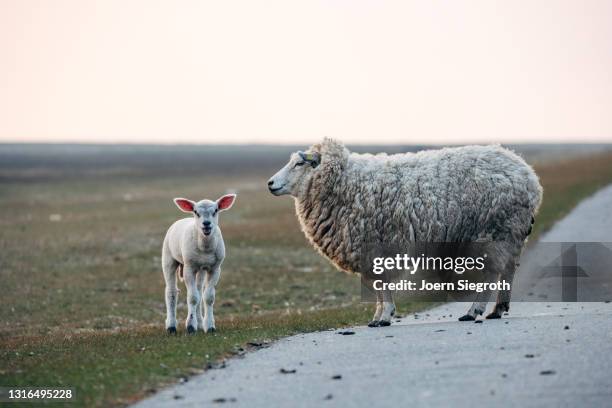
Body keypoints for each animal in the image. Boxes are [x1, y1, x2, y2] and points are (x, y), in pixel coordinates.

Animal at [161, 194, 235, 334]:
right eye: (196, 212)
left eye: (216, 210)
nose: (206, 224)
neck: (205, 248)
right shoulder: (189, 267)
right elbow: (192, 297)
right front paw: (190, 326)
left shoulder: (215, 268)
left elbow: (208, 297)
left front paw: (210, 326)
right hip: (168, 258)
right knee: (171, 292)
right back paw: (171, 326)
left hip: (200, 269)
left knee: (199, 291)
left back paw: (200, 323)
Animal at [266, 137, 540, 326]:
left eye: (298, 163)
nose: (270, 183)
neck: (344, 182)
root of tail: (529, 176)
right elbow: (377, 285)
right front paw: (379, 315)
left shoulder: (377, 244)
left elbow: (381, 284)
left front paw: (384, 316)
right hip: (509, 233)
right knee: (508, 270)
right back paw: (498, 309)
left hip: (494, 231)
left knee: (491, 273)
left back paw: (474, 311)